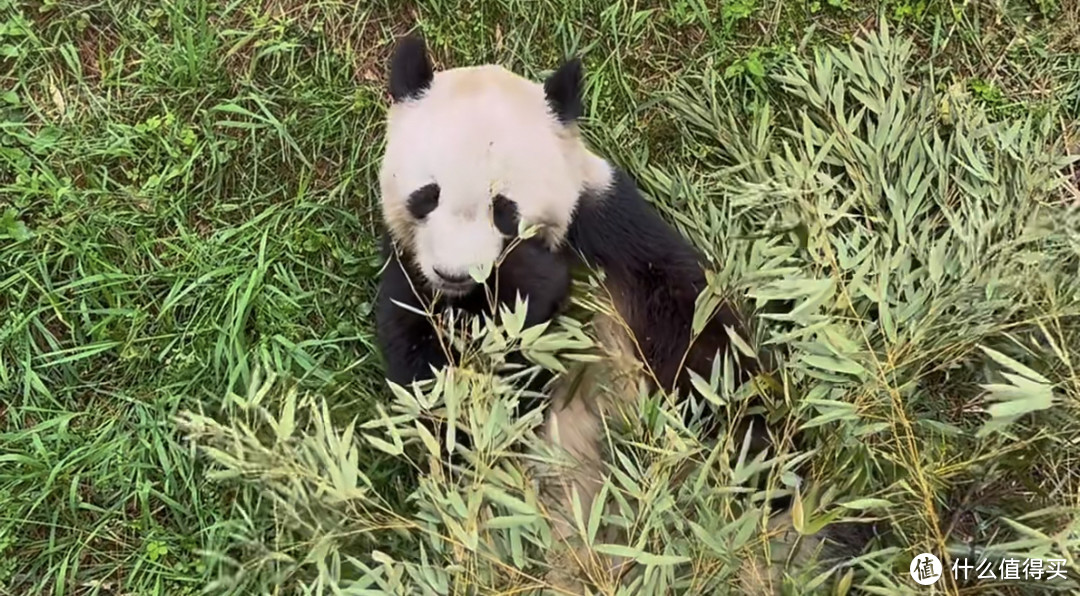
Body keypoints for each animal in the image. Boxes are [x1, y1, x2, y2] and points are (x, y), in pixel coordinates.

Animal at [375, 33, 872, 596]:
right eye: (427, 195)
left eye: (504, 209)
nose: (457, 272)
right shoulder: (410, 279)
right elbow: (450, 405)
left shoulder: (612, 231)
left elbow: (703, 353)